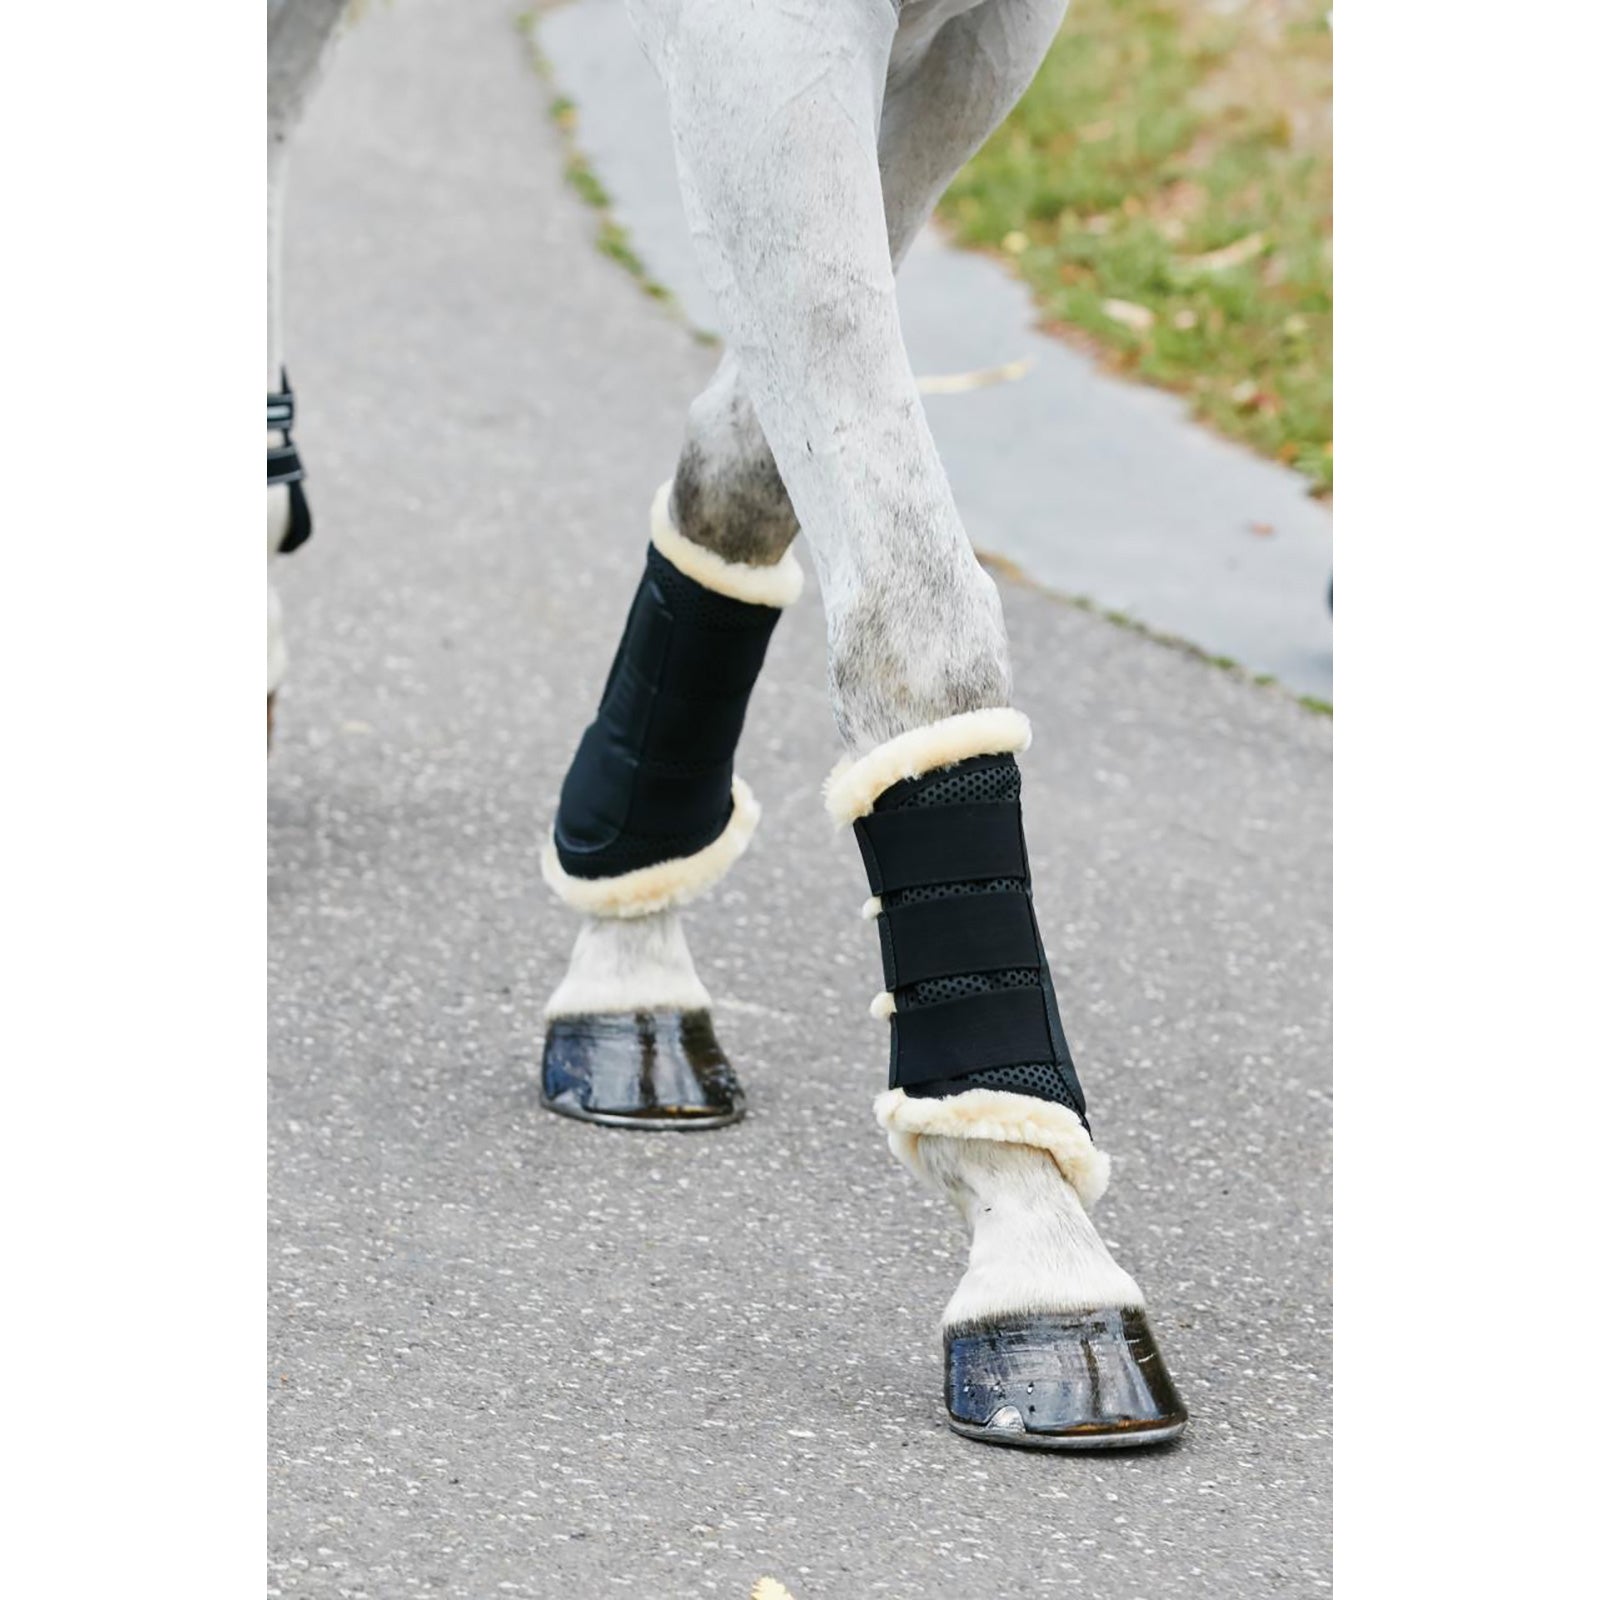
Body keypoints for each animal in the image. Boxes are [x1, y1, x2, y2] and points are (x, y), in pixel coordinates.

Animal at [268, 0, 1187, 1450]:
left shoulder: (980, 41)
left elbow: (748, 475)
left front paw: (631, 921)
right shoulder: (762, 40)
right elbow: (916, 603)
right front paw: (1033, 1248)